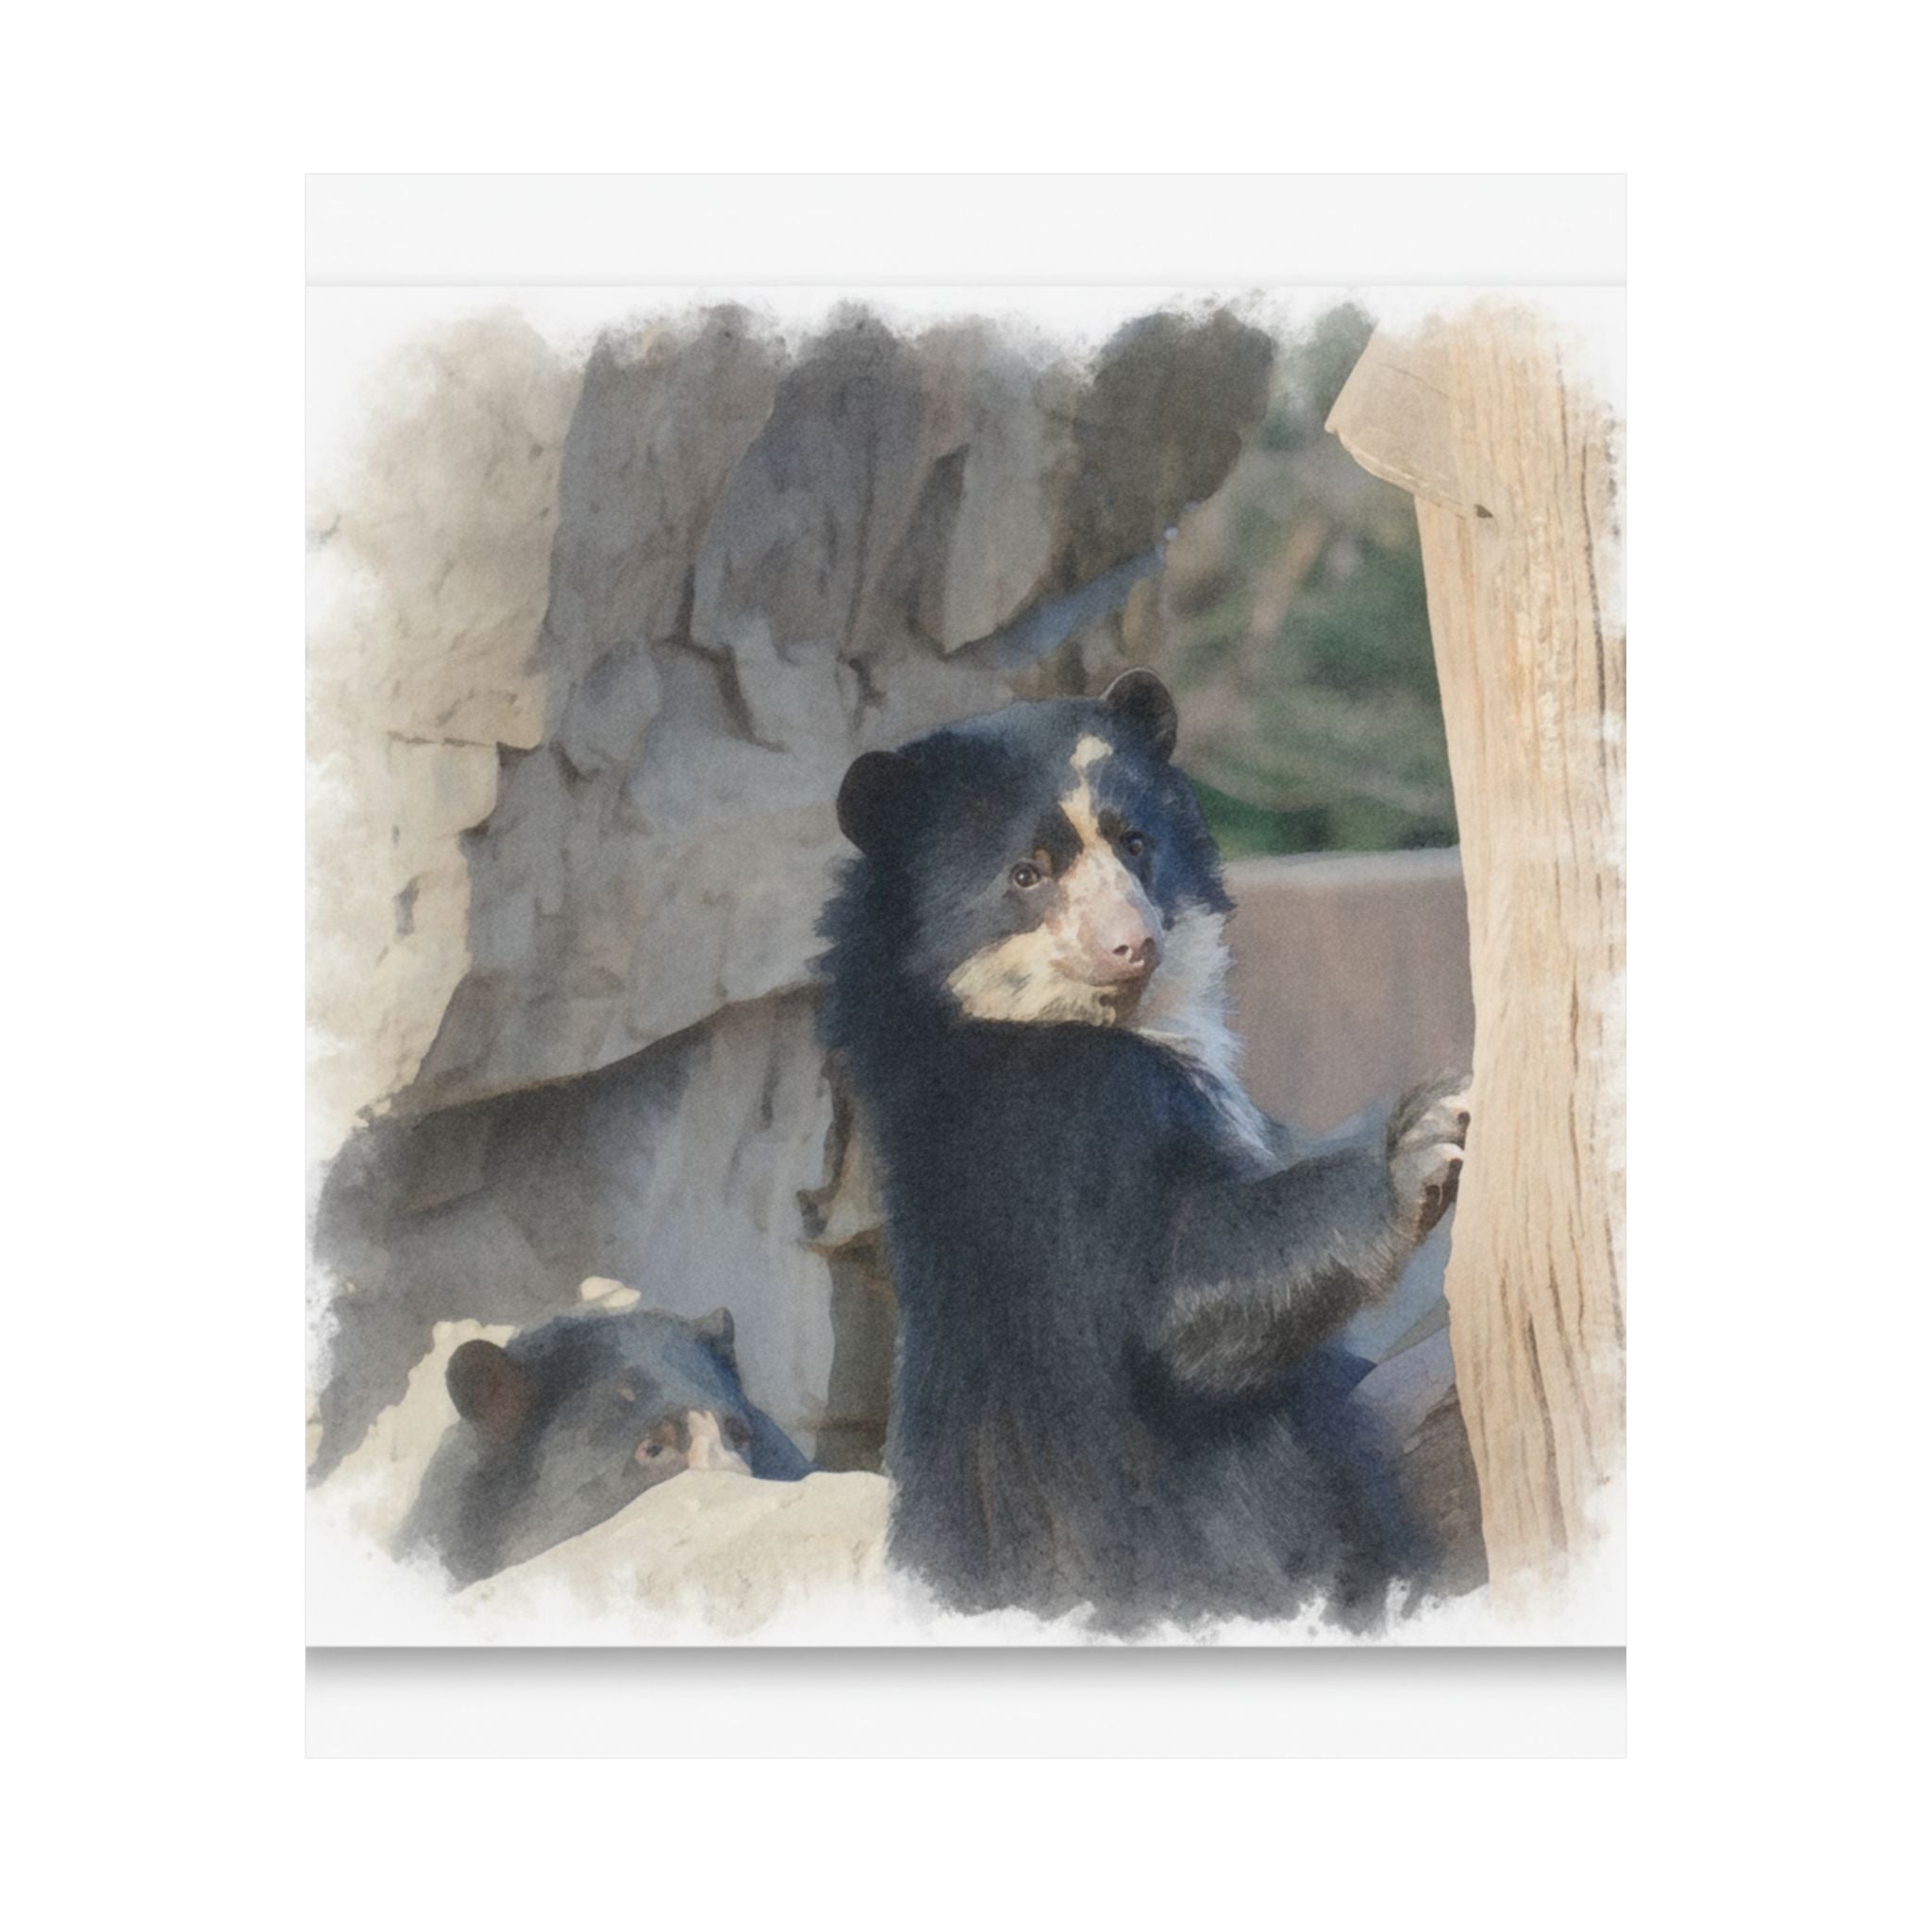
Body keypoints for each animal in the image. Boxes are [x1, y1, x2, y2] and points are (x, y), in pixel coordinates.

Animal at [817, 668, 1469, 1630]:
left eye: (1135, 842)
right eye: (1027, 873)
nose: (1132, 944)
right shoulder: (1072, 1129)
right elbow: (1182, 1293)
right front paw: (1426, 1136)